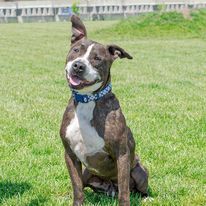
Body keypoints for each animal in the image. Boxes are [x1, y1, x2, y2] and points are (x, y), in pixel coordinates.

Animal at [59, 15, 148, 205]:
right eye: (76, 50)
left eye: (97, 58)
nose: (78, 66)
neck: (87, 101)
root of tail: (109, 187)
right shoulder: (70, 155)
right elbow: (77, 188)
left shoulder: (122, 154)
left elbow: (124, 192)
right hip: (87, 174)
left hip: (140, 171)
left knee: (136, 188)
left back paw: (145, 198)